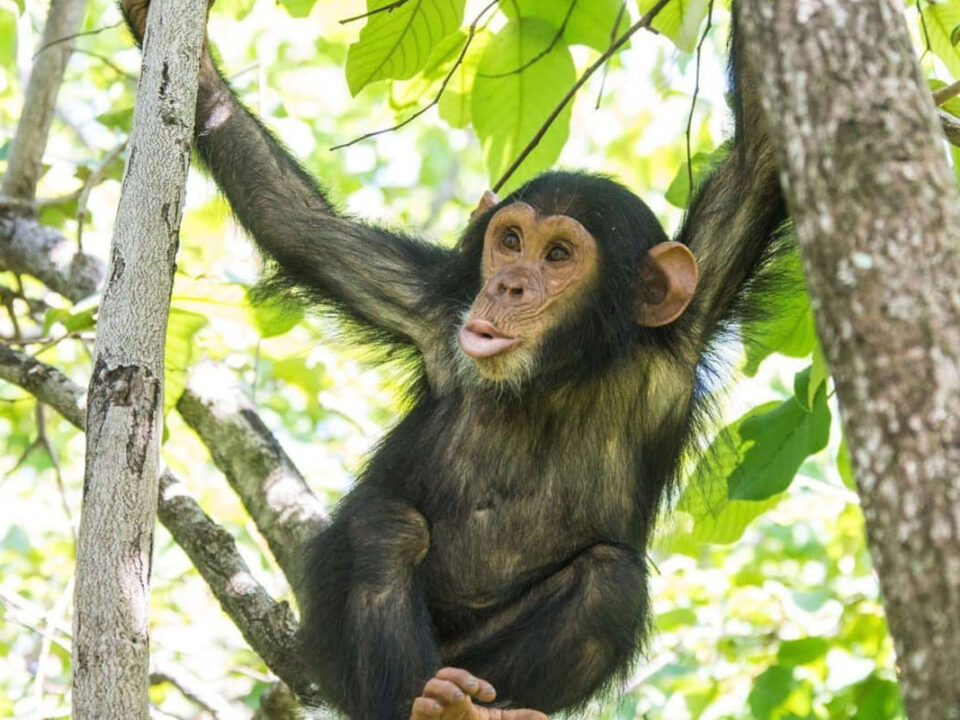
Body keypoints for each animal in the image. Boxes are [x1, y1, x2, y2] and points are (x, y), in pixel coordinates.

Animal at [121, 3, 787, 720]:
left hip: (481, 659)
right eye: (511, 241)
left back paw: (481, 705)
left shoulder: (688, 324)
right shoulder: (433, 306)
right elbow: (296, 224)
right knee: (386, 528)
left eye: (558, 256)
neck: (556, 376)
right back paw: (429, 701)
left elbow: (758, 160)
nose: (508, 285)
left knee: (611, 583)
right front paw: (190, 64)